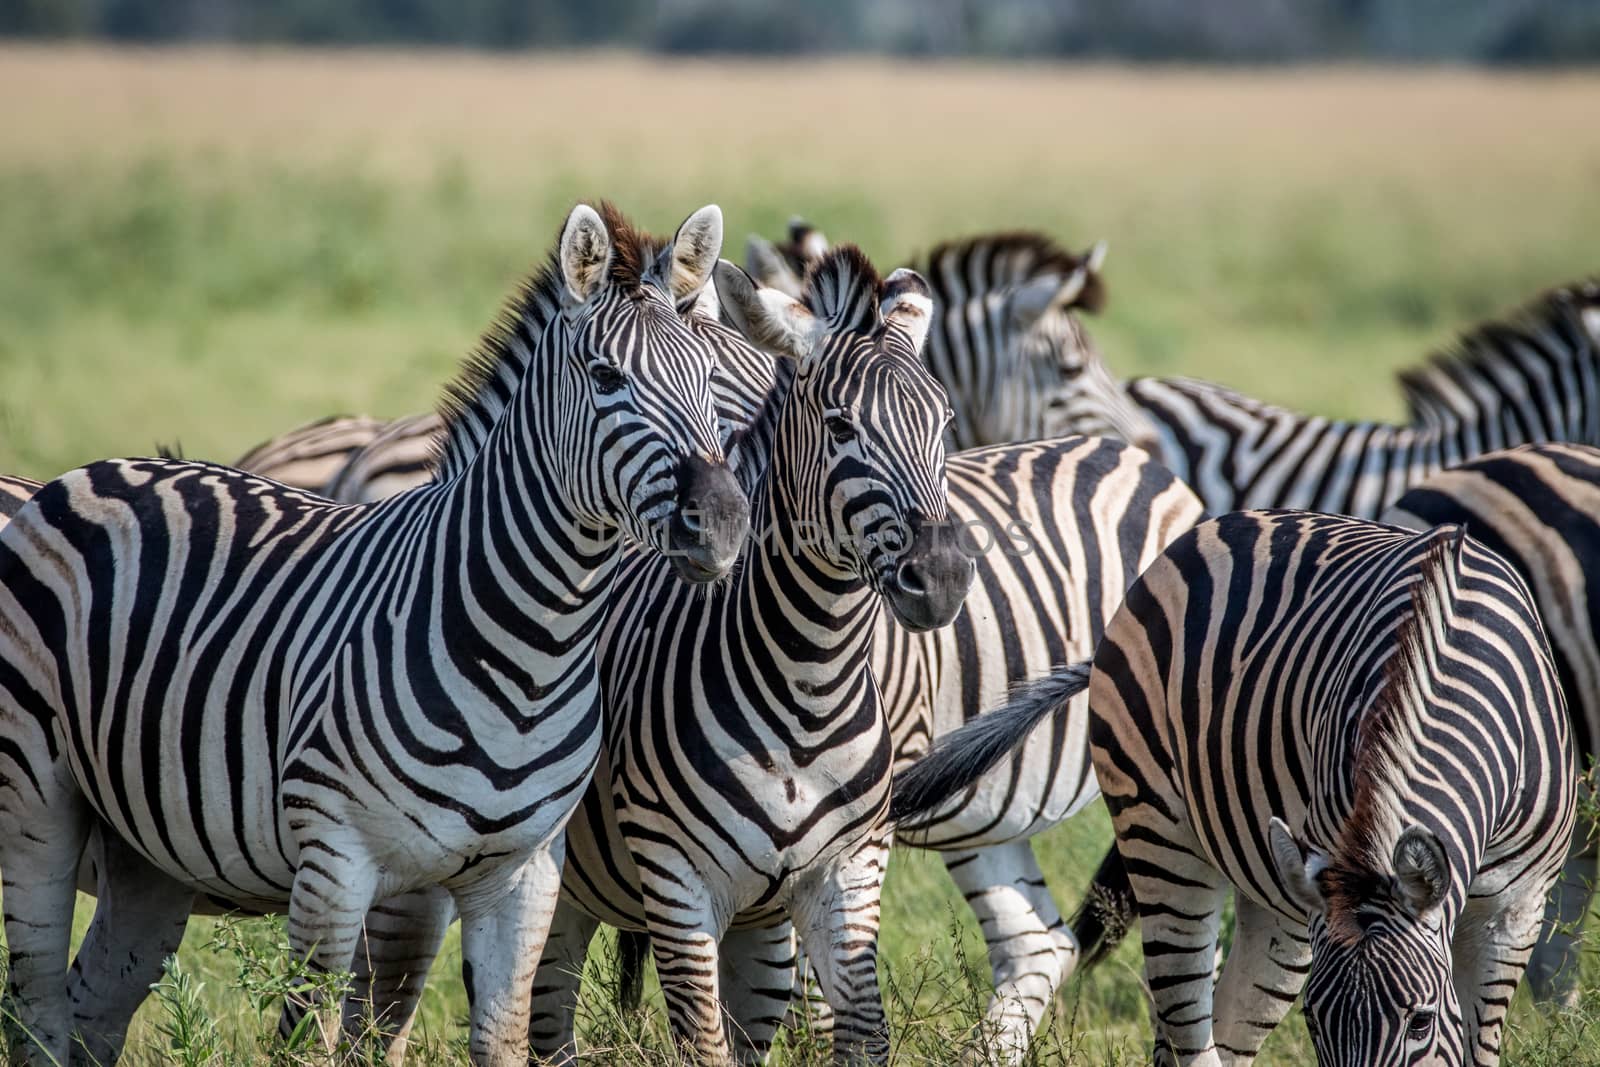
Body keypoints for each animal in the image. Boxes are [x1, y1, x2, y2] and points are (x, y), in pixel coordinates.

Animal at [0, 202, 755, 1067]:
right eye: (605, 379)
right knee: (34, 1007)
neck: (532, 649)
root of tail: (91, 471)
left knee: (91, 1006)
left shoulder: (523, 877)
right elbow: (314, 1036)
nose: (724, 525)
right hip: (36, 801)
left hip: (148, 843)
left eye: (707, 380)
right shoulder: (337, 864)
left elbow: (494, 1037)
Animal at [902, 508, 1574, 1067]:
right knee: (1186, 1022)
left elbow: (1478, 1044)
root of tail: (1209, 528)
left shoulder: (1516, 912)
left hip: (1277, 898)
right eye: (1315, 1023)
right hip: (1163, 838)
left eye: (1420, 1022)